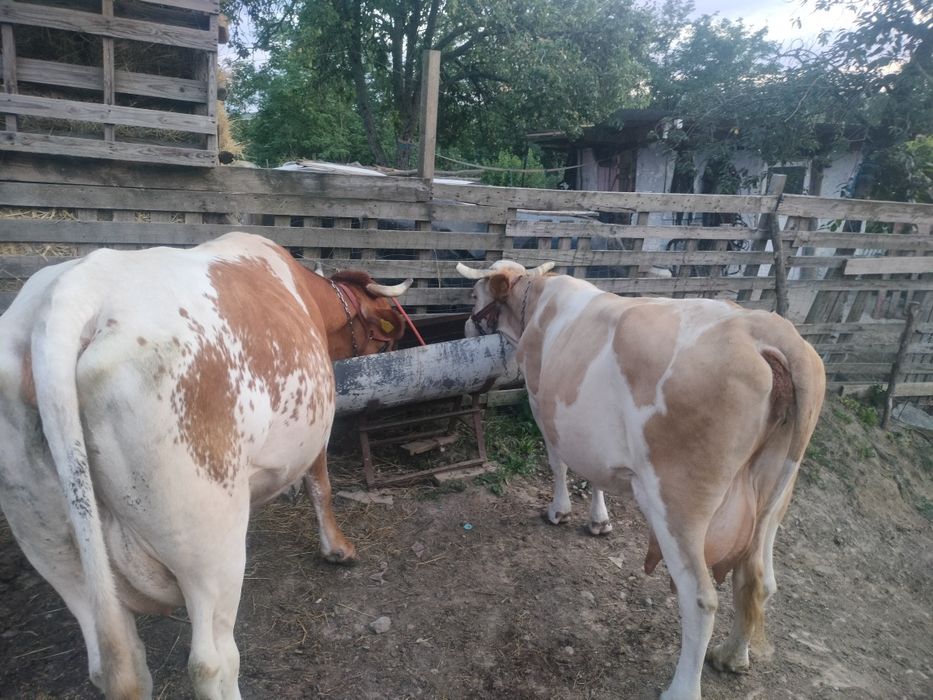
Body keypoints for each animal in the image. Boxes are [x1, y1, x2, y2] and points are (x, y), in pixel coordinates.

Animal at [0, 232, 410, 699]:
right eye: (383, 339)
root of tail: (71, 293)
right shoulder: (315, 434)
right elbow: (320, 486)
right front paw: (338, 548)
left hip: (53, 546)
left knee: (117, 666)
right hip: (208, 544)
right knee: (212, 663)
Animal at [458, 260, 825, 700]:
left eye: (473, 294)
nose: (465, 326)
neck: (540, 303)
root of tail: (765, 330)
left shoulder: (540, 403)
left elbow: (559, 463)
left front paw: (559, 511)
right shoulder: (591, 432)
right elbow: (594, 473)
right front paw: (599, 520)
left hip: (679, 504)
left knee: (700, 598)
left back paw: (682, 689)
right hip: (774, 495)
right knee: (758, 578)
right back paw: (732, 655)